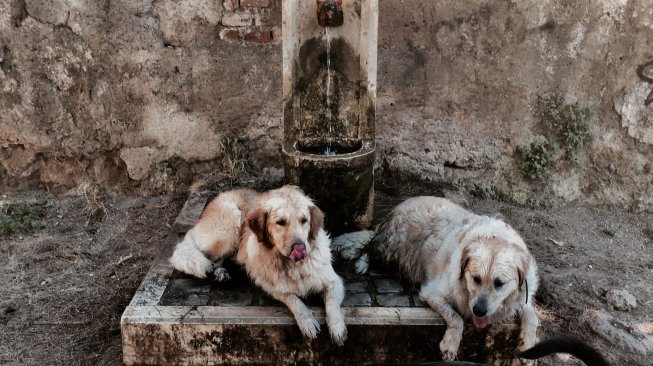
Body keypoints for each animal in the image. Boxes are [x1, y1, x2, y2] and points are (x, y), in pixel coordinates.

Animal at [171, 186, 348, 346]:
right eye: (280, 222)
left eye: (304, 220)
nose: (300, 247)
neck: (293, 266)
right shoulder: (271, 285)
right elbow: (294, 300)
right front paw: (307, 321)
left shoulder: (334, 281)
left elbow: (332, 305)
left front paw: (337, 328)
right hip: (227, 231)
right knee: (184, 251)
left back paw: (217, 273)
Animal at [334, 197, 536, 360]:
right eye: (476, 279)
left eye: (499, 284)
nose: (479, 311)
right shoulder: (432, 293)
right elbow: (456, 317)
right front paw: (451, 345)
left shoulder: (521, 298)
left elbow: (533, 317)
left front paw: (528, 345)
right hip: (391, 246)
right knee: (369, 247)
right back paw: (362, 263)